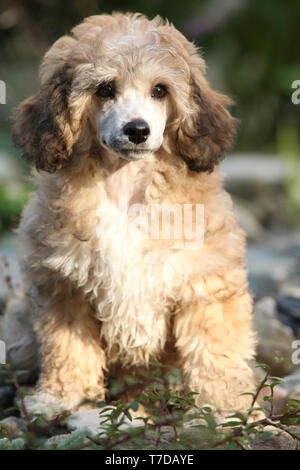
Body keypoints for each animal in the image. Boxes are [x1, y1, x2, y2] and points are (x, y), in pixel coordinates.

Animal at [1, 12, 256, 420]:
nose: (137, 130)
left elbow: (216, 351)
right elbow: (65, 349)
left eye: (160, 90)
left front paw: (226, 408)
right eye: (105, 89)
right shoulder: (64, 287)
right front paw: (62, 398)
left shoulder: (204, 282)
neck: (126, 187)